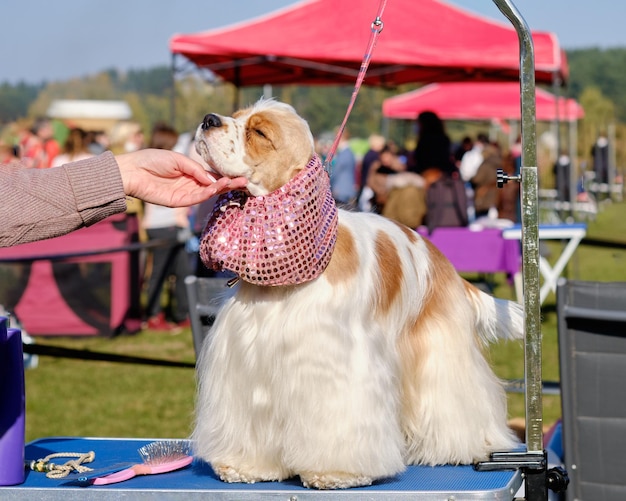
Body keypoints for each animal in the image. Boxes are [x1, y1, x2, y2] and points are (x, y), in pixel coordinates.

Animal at [191, 97, 520, 488]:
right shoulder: (249, 359)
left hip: (439, 349)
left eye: (259, 133)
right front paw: (247, 466)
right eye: (236, 116)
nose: (208, 119)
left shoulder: (334, 361)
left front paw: (335, 472)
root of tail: (444, 262)